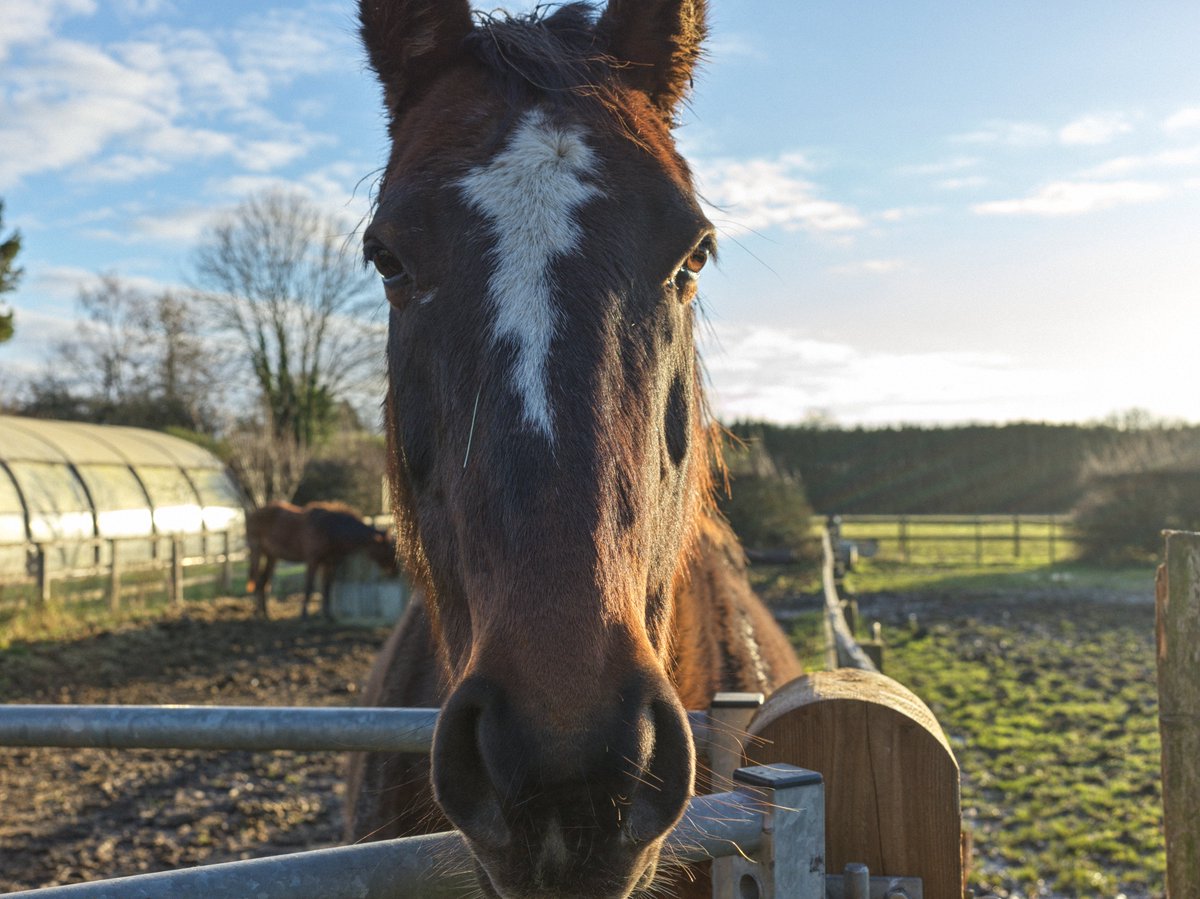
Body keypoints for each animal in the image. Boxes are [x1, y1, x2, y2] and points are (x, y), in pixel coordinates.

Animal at [244, 500, 398, 619]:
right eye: (388, 550)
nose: (394, 572)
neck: (330, 529)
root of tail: (254, 514)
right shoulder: (313, 561)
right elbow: (309, 586)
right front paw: (304, 615)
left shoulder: (329, 563)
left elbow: (327, 587)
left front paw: (328, 615)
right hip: (257, 551)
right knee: (257, 580)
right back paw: (257, 613)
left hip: (272, 556)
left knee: (264, 582)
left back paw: (266, 614)